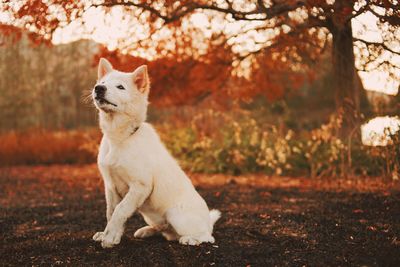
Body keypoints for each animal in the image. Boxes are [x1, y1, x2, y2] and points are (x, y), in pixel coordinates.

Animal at [92, 58, 220, 249]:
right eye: (103, 82)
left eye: (120, 87)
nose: (98, 88)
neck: (121, 139)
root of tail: (208, 222)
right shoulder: (111, 186)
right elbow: (111, 212)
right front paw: (110, 234)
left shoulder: (140, 185)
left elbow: (120, 211)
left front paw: (110, 237)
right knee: (165, 230)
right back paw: (147, 231)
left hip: (175, 214)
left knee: (207, 237)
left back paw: (190, 239)